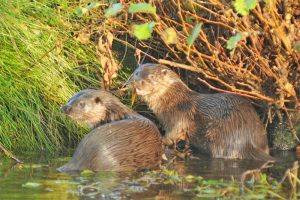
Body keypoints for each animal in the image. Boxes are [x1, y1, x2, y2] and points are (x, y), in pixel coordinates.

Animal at [130, 63, 274, 161]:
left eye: (151, 76)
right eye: (137, 73)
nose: (137, 81)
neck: (172, 100)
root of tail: (249, 143)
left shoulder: (179, 117)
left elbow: (173, 134)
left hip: (220, 136)